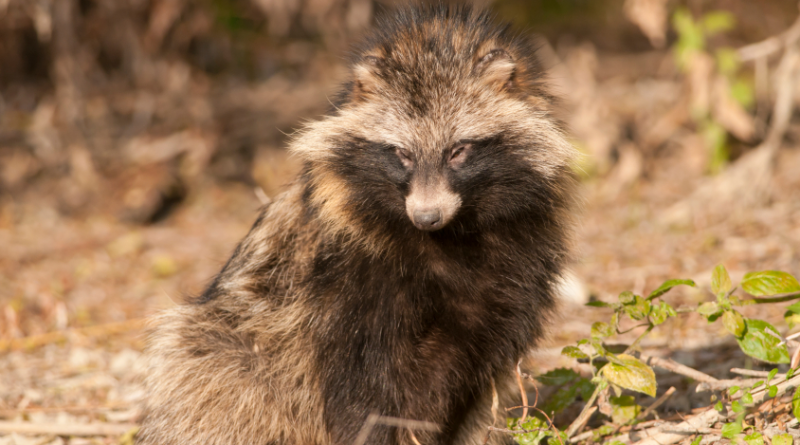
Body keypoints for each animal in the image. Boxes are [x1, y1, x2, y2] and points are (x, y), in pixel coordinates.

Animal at [138, 4, 576, 444]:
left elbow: (480, 370)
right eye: (401, 153)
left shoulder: (515, 273)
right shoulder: (345, 280)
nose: (426, 217)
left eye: (459, 151)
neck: (449, 237)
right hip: (227, 345)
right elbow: (358, 388)